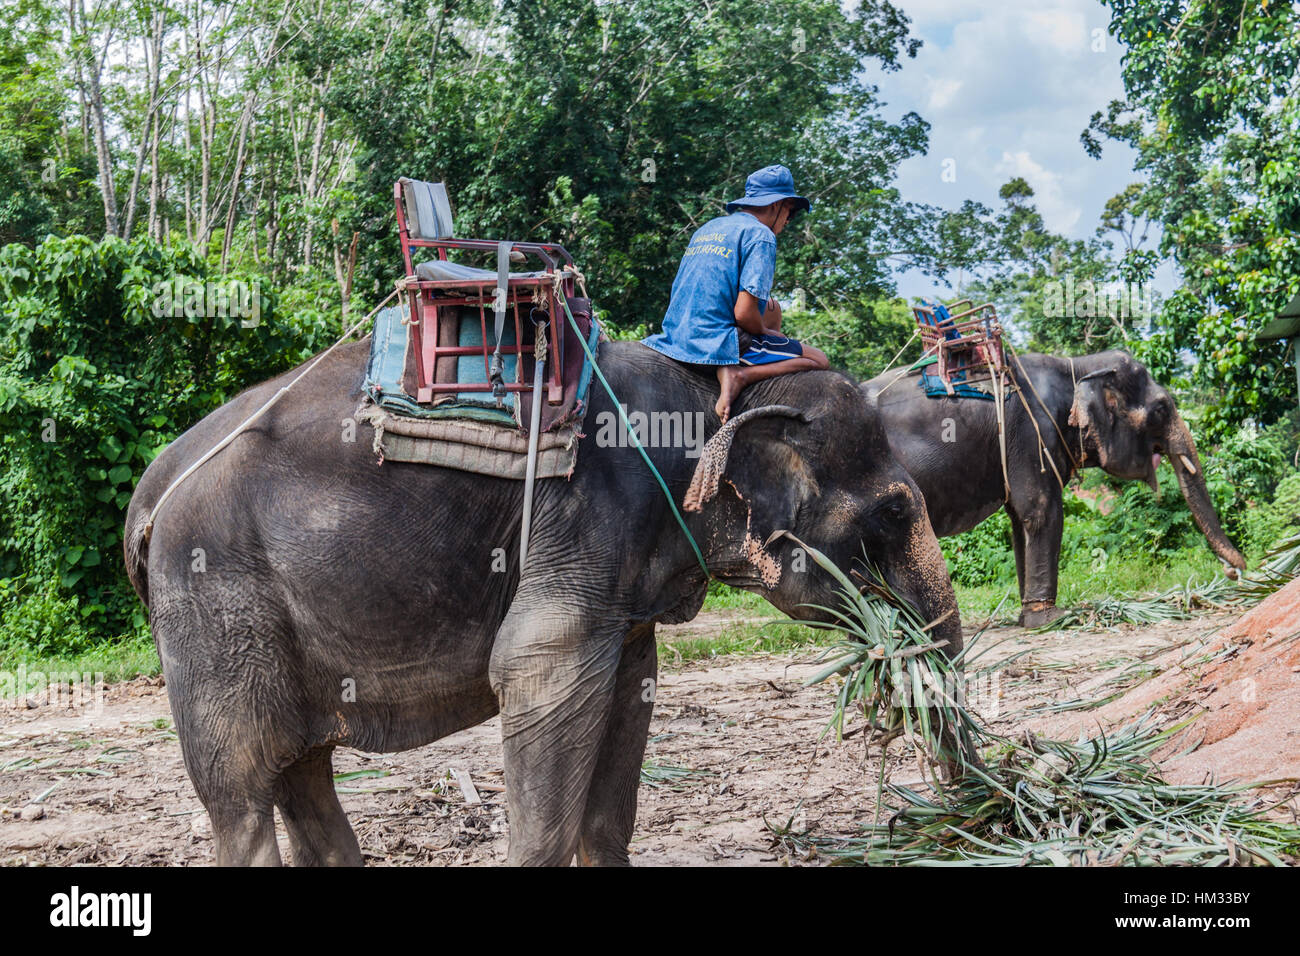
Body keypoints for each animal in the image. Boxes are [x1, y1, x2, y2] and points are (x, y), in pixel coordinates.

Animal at [124, 339, 962, 866]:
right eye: (895, 512)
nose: (961, 811)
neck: (707, 394)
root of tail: (150, 489)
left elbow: (628, 699)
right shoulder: (582, 523)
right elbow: (538, 673)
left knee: (303, 773)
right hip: (214, 598)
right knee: (239, 794)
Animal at [861, 349, 1246, 628]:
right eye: (1162, 409)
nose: (1235, 573)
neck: (1076, 365)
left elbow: (1020, 520)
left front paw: (1027, 616)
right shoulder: (1032, 432)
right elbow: (1041, 509)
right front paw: (1051, 619)